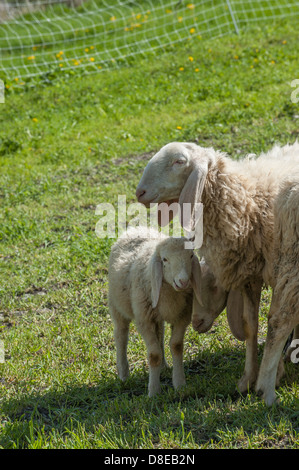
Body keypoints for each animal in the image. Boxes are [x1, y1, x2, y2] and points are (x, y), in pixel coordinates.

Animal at [136, 141, 299, 392]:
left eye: (179, 161)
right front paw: (247, 378)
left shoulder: (275, 269)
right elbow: (250, 326)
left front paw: (274, 372)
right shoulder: (249, 274)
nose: (139, 193)